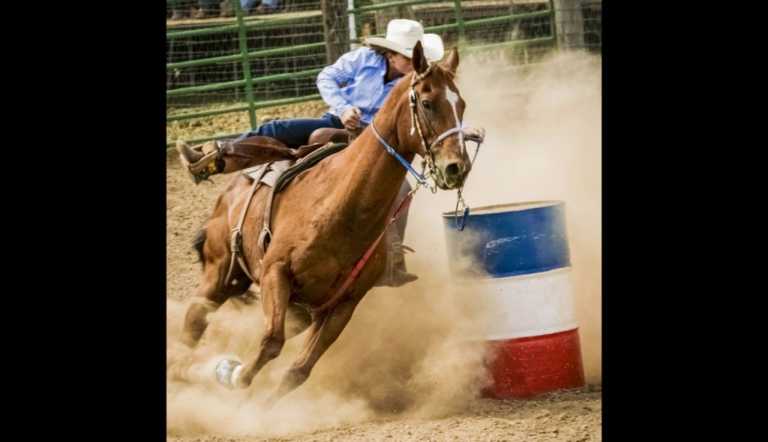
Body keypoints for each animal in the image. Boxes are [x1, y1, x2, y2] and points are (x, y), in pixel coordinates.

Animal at [181, 39, 474, 406]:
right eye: (427, 102)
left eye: (461, 104)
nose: (457, 167)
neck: (338, 208)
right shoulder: (275, 271)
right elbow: (270, 342)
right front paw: (231, 375)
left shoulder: (341, 305)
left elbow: (298, 371)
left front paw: (261, 402)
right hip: (222, 270)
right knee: (194, 321)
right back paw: (201, 158)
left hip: (296, 309)